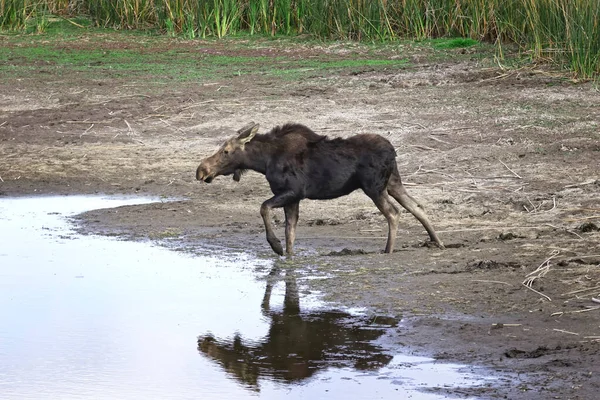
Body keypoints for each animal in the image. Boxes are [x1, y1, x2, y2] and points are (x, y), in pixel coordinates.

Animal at [195, 121, 442, 256]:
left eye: (226, 151)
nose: (201, 170)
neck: (263, 162)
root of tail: (393, 151)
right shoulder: (293, 198)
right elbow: (290, 233)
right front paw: (287, 254)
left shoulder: (293, 192)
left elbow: (264, 208)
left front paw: (275, 246)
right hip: (393, 183)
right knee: (416, 206)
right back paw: (437, 241)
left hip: (374, 187)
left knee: (393, 213)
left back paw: (388, 250)